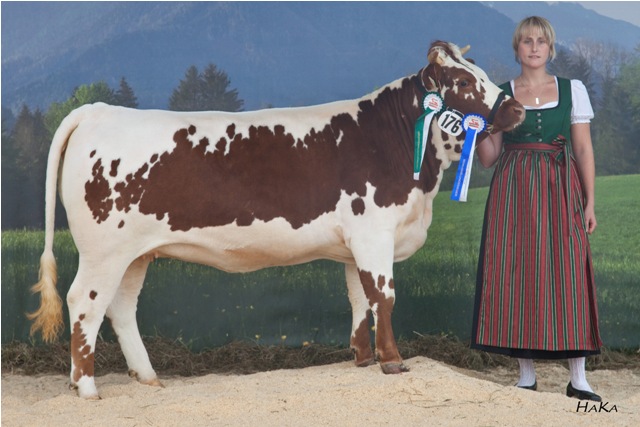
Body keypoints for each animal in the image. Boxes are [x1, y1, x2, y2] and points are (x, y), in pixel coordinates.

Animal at [28, 41, 524, 399]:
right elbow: (383, 297)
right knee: (84, 302)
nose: (517, 109)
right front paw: (392, 361)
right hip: (103, 250)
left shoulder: (355, 244)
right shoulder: (375, 233)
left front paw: (362, 359)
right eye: (463, 80)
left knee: (121, 308)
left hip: (135, 254)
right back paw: (86, 387)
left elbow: (358, 300)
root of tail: (98, 110)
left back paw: (147, 377)